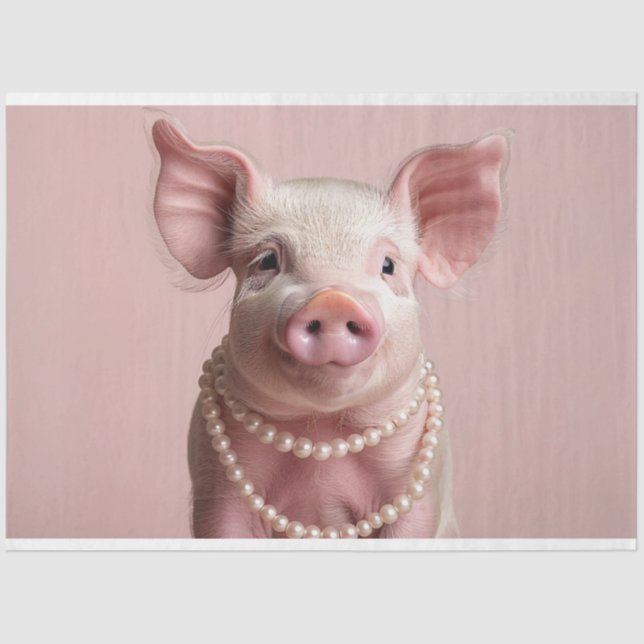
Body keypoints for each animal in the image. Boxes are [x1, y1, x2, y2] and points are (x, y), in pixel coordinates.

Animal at [148, 114, 510, 539]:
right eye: (267, 261)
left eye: (388, 265)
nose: (333, 299)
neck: (322, 430)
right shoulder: (214, 484)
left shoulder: (423, 487)